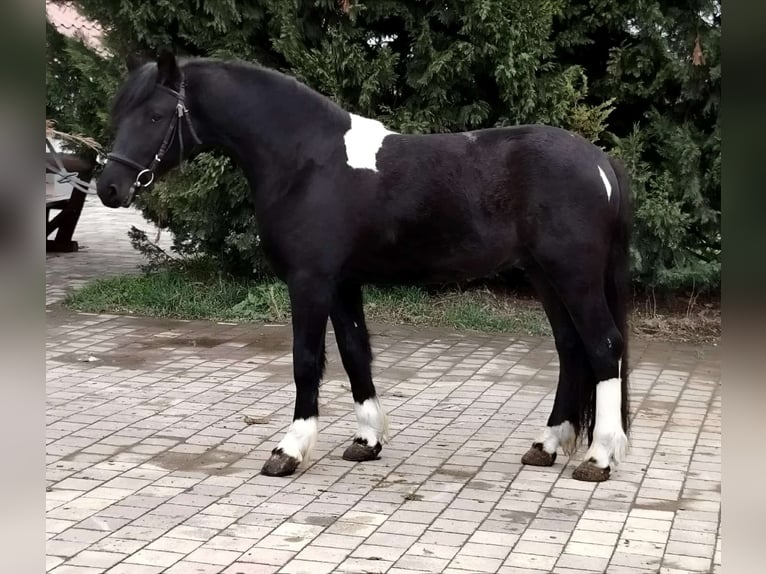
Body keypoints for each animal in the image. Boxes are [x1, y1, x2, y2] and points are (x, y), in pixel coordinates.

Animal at [97, 52, 632, 483]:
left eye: (155, 114)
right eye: (120, 113)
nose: (109, 188)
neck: (307, 161)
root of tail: (600, 161)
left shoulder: (310, 281)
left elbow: (306, 360)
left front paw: (289, 450)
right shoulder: (341, 282)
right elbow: (356, 352)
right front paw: (367, 441)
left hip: (573, 276)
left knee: (603, 347)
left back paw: (599, 458)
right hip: (545, 275)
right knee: (570, 350)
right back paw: (547, 445)